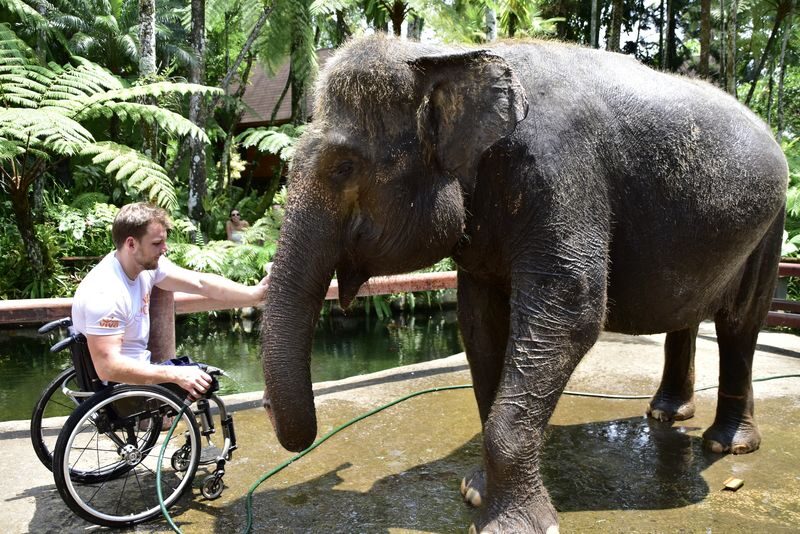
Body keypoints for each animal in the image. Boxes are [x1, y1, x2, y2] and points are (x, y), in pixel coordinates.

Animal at [260, 34, 788, 533]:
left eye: (343, 167)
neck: (443, 55)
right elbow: (478, 321)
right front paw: (475, 492)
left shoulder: (561, 171)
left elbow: (573, 308)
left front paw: (514, 524)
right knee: (689, 315)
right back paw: (667, 415)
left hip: (771, 226)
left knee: (740, 323)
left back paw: (727, 445)